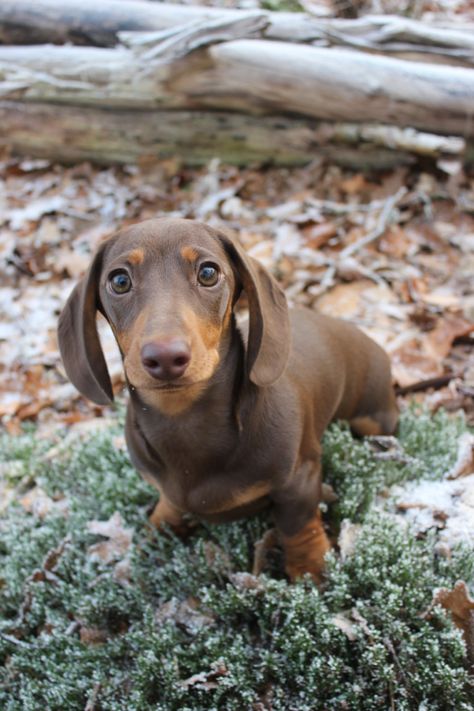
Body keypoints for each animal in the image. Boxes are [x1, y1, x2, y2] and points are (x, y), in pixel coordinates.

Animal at [57, 218, 398, 584]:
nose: (165, 357)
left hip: (375, 418)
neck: (184, 420)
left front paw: (310, 569)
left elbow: (298, 525)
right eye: (119, 280)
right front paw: (152, 536)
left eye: (208, 272)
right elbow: (169, 505)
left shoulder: (300, 479)